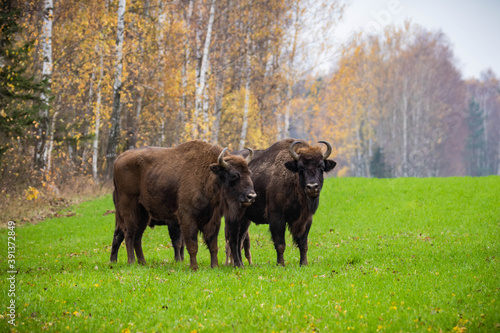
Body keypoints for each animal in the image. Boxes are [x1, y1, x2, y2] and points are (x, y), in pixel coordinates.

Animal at [110, 140, 258, 270]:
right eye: (234, 175)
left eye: (249, 173)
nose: (251, 196)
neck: (209, 174)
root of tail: (118, 159)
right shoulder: (187, 217)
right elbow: (192, 245)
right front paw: (194, 267)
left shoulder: (213, 220)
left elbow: (213, 245)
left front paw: (214, 266)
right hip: (129, 208)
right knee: (129, 234)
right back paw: (131, 262)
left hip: (144, 213)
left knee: (137, 236)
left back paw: (142, 262)